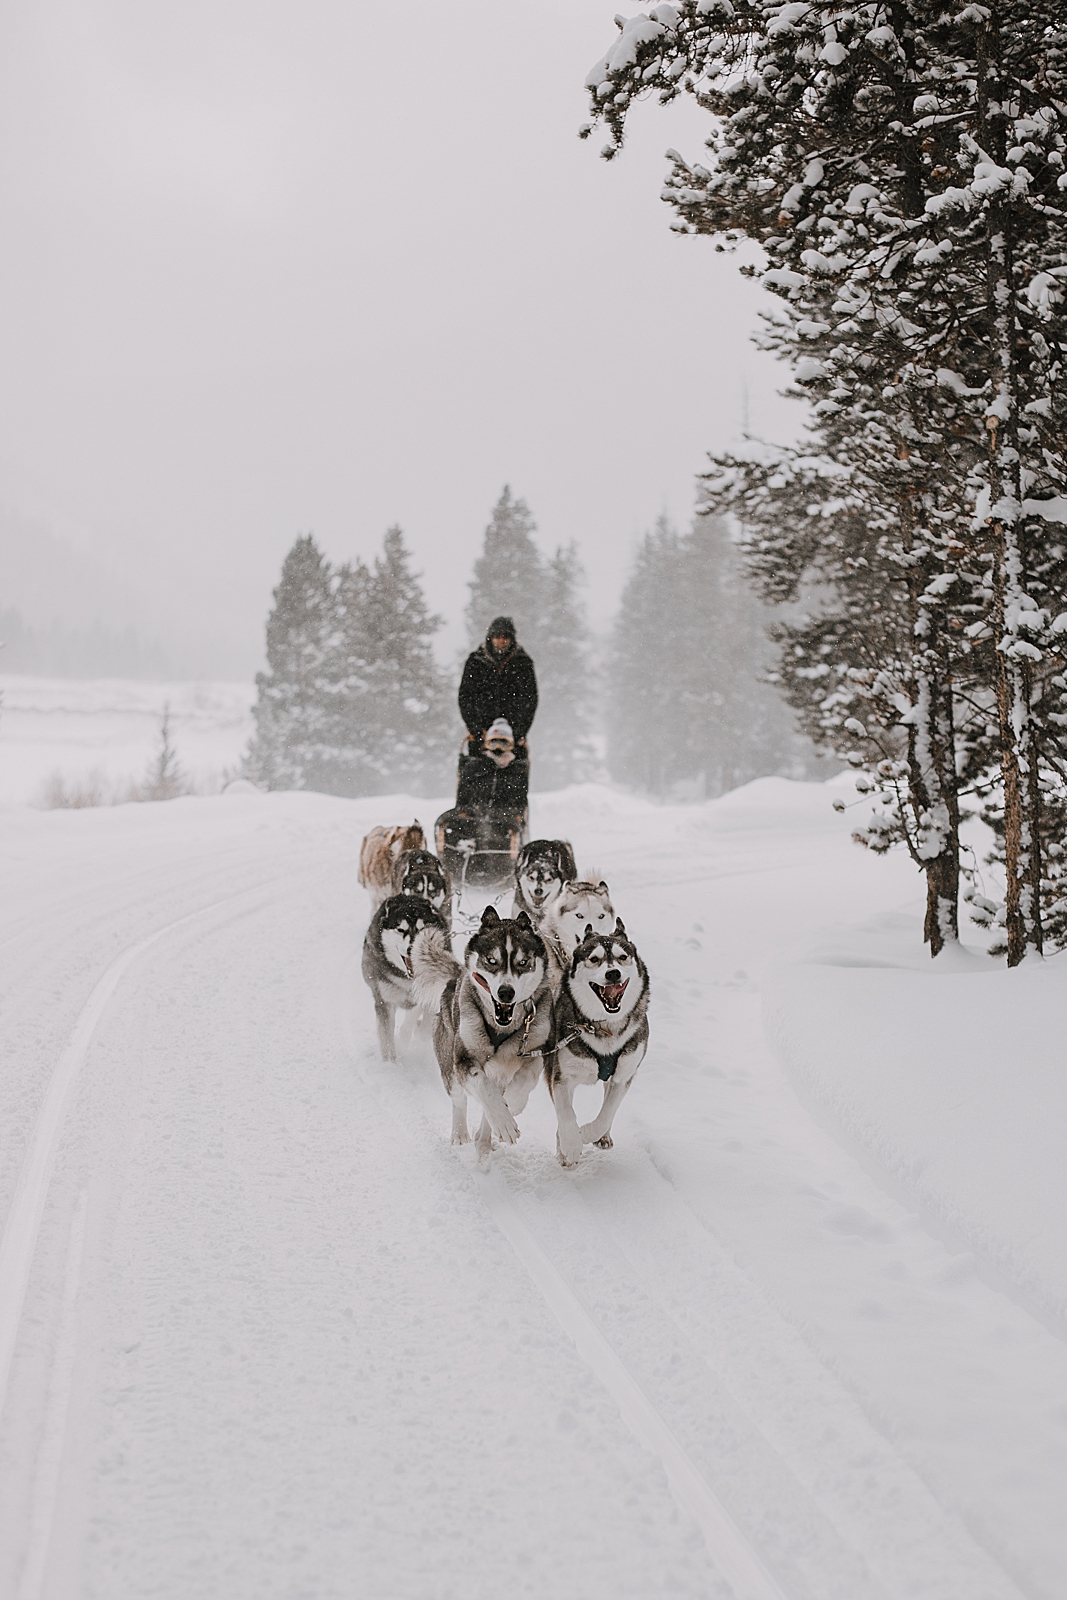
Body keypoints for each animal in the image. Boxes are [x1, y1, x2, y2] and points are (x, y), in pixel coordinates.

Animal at [361, 889, 447, 1062]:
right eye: (400, 930)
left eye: (422, 928)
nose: (411, 949)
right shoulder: (384, 1001)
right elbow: (387, 1037)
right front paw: (391, 1063)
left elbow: (414, 1016)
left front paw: (405, 1040)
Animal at [412, 908, 556, 1158]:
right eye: (491, 960)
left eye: (523, 963)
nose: (506, 992)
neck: (502, 1027)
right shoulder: (464, 1058)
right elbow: (483, 1086)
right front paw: (504, 1120)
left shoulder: (537, 1048)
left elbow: (525, 1077)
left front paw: (514, 1102)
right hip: (449, 1063)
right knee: (460, 1098)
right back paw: (462, 1134)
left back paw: (485, 1138)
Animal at [550, 921, 652, 1171]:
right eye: (594, 959)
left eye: (622, 957)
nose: (613, 973)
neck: (604, 1027)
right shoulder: (561, 1075)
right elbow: (565, 1113)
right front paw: (570, 1145)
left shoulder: (624, 1075)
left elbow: (606, 1114)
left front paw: (586, 1133)